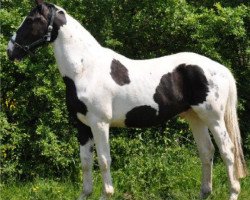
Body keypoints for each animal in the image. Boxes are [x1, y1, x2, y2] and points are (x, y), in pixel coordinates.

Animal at [6, 0, 247, 199]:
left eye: (31, 20)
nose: (10, 50)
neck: (85, 69)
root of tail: (221, 69)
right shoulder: (82, 126)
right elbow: (85, 162)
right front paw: (86, 194)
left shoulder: (100, 124)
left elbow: (104, 160)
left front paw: (106, 194)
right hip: (194, 117)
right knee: (207, 152)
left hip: (214, 118)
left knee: (227, 151)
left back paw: (233, 193)